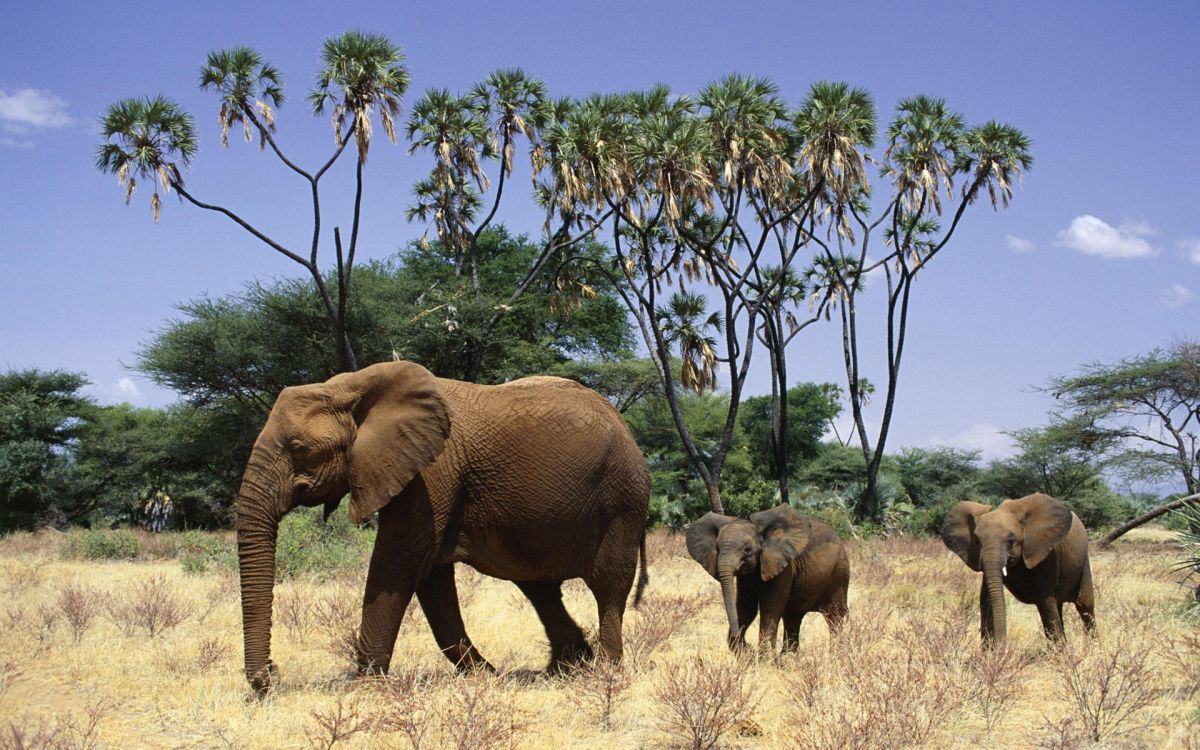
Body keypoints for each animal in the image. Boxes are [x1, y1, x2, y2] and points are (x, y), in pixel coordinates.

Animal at [235, 360, 648, 691]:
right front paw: (485, 678)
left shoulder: (431, 472)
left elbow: (399, 561)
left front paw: (363, 689)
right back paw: (565, 668)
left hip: (621, 498)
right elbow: (432, 580)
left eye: (298, 448)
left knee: (608, 585)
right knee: (539, 588)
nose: (271, 675)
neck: (349, 387)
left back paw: (604, 672)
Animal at [691, 504, 849, 652]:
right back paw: (787, 658)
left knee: (835, 617)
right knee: (793, 617)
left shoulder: (783, 567)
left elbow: (770, 608)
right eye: (717, 548)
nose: (746, 645)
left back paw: (837, 654)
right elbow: (746, 608)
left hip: (840, 575)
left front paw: (761, 658)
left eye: (747, 549)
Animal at [940, 492, 1099, 643]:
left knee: (1084, 605)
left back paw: (1092, 645)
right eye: (977, 542)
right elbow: (986, 600)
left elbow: (1045, 601)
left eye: (1011, 541)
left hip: (1083, 561)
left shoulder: (1045, 553)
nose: (1002, 647)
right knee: (1058, 606)